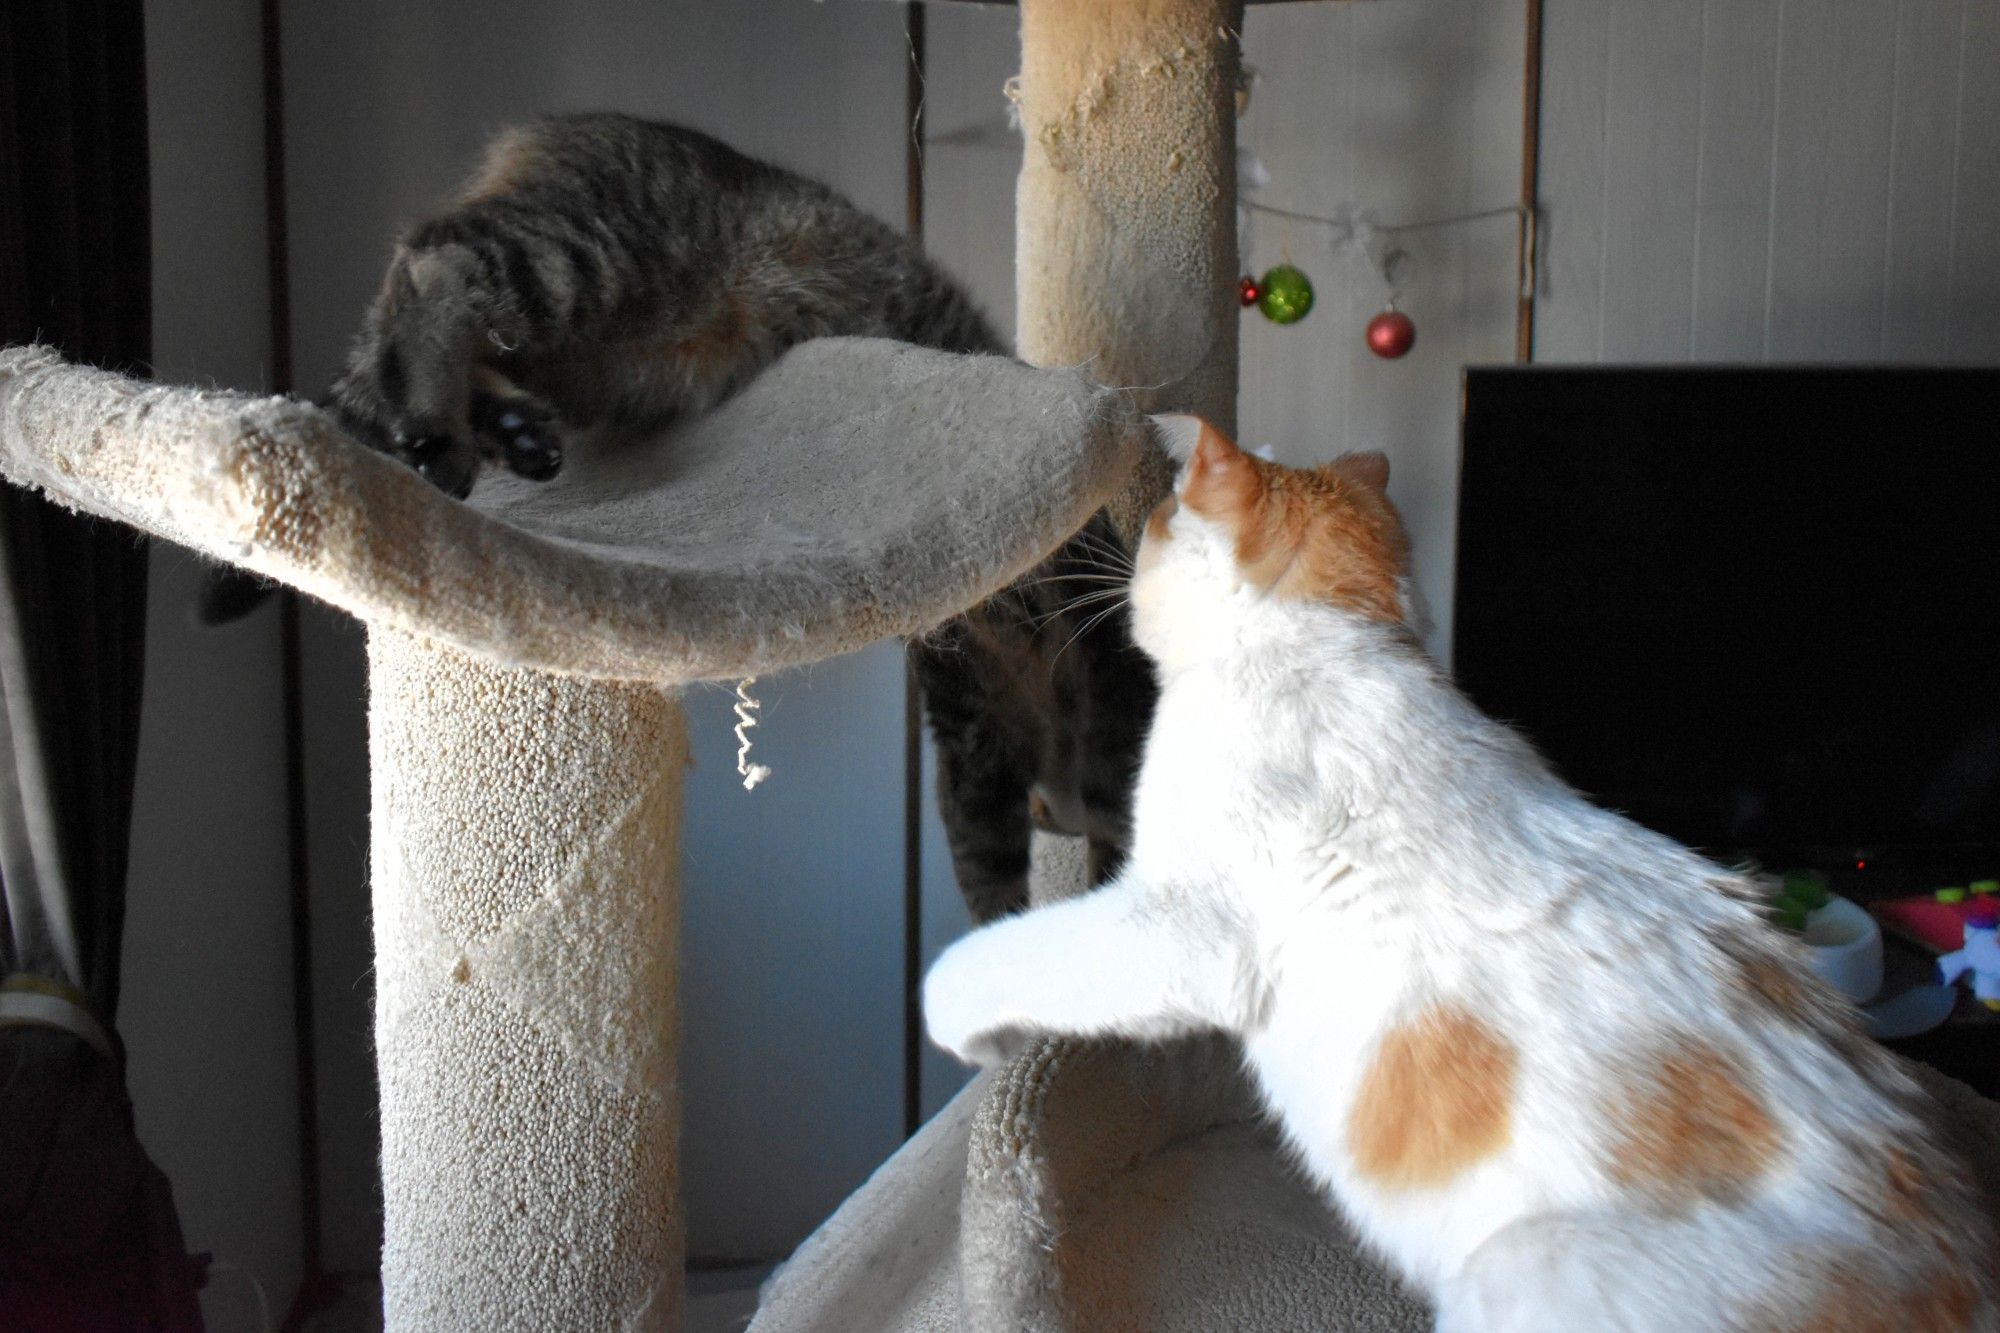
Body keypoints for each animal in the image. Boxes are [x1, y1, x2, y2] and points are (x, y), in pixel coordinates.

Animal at [328, 114, 1160, 920]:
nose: (1057, 806)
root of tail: (545, 130)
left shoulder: (994, 745)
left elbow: (1026, 852)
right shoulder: (998, 727)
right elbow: (1035, 864)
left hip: (579, 357)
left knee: (455, 327)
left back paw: (499, 428)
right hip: (588, 252)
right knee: (433, 264)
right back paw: (435, 421)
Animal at [924, 418, 2000, 1328]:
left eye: (1155, 517)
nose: (1120, 543)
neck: (1330, 640)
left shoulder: (1177, 925)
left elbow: (1011, 953)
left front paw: (961, 1023)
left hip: (1519, 1271)